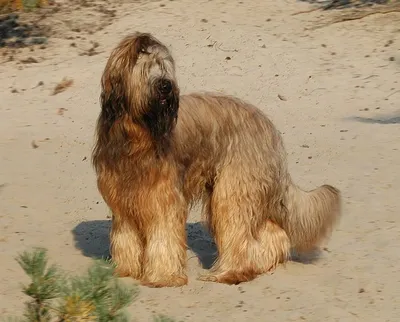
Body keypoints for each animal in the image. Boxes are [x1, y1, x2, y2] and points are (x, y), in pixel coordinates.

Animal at [92, 32, 342, 288]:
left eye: (164, 66)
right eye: (145, 67)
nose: (166, 86)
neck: (137, 135)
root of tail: (268, 128)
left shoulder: (164, 198)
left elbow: (164, 235)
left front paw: (164, 277)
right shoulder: (121, 200)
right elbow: (125, 235)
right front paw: (125, 270)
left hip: (234, 188)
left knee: (238, 228)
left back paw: (229, 273)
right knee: (274, 232)